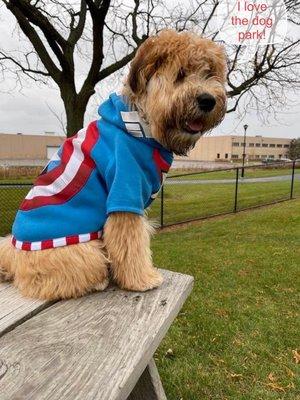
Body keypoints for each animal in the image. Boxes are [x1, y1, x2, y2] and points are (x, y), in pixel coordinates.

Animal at [0, 29, 226, 298]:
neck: (143, 123)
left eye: (209, 74)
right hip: (83, 251)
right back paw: (97, 281)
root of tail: (14, 255)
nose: (208, 100)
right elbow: (131, 244)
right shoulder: (124, 192)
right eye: (180, 74)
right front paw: (143, 279)